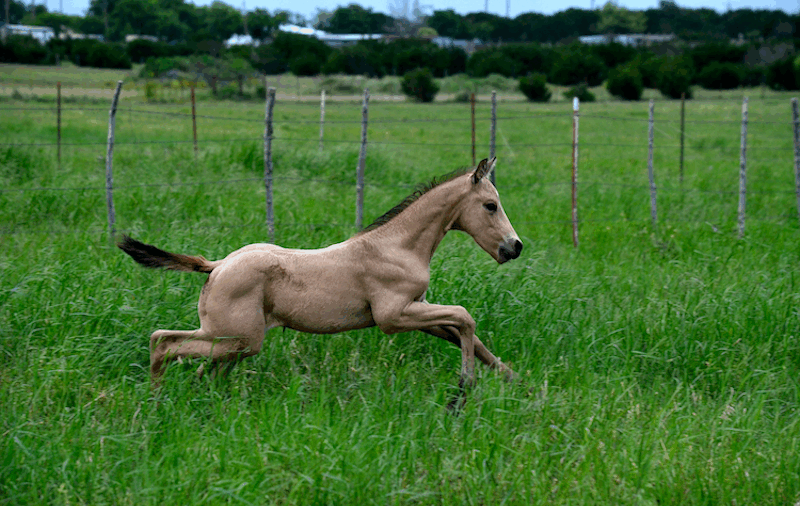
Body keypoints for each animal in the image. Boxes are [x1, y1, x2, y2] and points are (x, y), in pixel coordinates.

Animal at [119, 157, 523, 394]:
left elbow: (466, 335)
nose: (514, 247)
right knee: (163, 342)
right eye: (490, 205)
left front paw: (514, 380)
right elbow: (464, 317)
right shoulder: (393, 316)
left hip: (232, 341)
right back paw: (156, 402)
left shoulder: (417, 309)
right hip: (238, 338)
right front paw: (463, 388)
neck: (397, 247)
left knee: (197, 365)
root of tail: (217, 266)